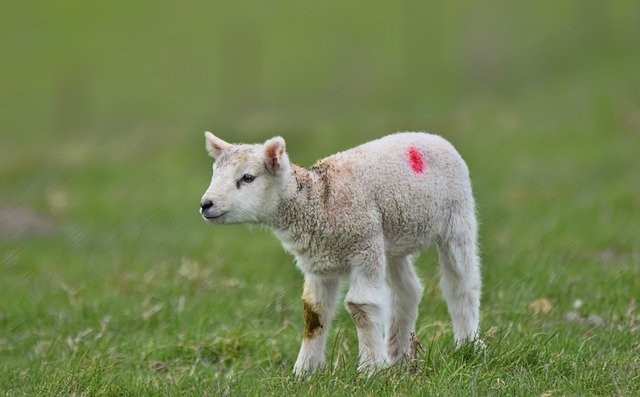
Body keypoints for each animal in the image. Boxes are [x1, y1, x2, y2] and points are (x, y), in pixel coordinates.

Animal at [199, 131, 480, 372]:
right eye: (215, 174)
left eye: (247, 178)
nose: (205, 204)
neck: (319, 199)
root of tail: (430, 136)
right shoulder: (318, 262)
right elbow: (313, 312)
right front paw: (304, 372)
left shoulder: (364, 247)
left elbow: (360, 305)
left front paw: (371, 369)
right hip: (390, 240)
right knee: (407, 291)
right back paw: (398, 357)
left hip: (457, 218)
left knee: (461, 284)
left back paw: (469, 345)